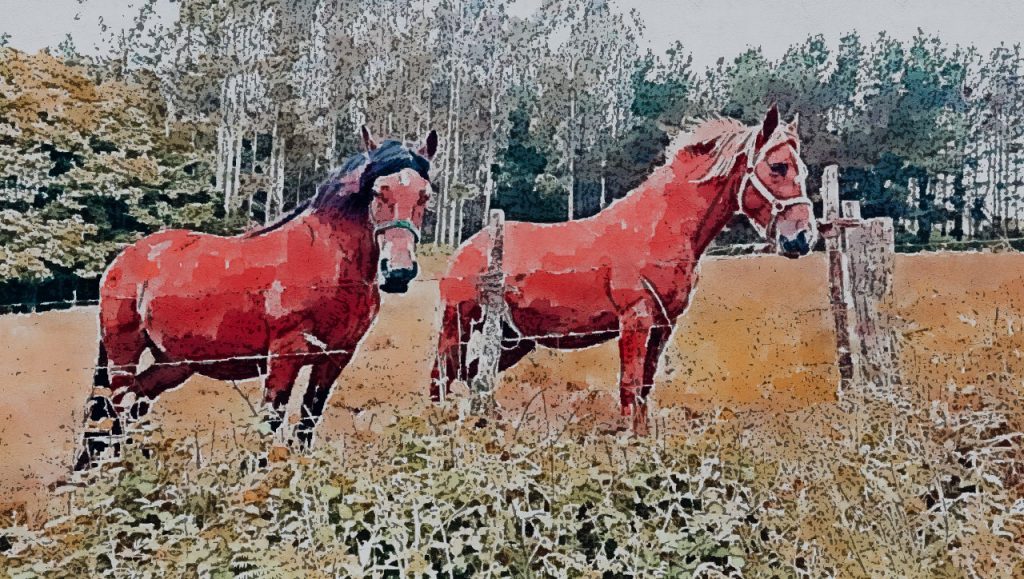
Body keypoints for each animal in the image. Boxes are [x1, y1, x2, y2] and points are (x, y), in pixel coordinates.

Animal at [76, 127, 438, 469]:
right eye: (378, 192)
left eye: (426, 195)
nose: (399, 272)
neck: (328, 260)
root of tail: (123, 260)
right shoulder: (285, 355)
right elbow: (272, 419)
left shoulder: (336, 357)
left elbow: (309, 418)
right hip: (124, 352)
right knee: (118, 408)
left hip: (173, 363)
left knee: (130, 407)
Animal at [431, 105, 816, 433]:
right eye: (778, 166)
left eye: (804, 170)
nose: (802, 238)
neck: (658, 228)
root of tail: (464, 250)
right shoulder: (635, 320)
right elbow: (629, 387)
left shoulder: (664, 325)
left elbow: (645, 387)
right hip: (458, 323)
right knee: (442, 376)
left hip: (513, 339)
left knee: (474, 377)